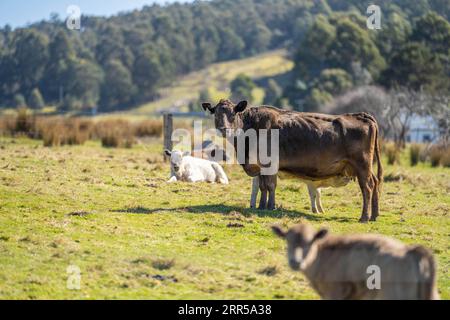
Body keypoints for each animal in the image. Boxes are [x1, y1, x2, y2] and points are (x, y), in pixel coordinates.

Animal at [204, 100, 384, 222]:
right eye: (216, 114)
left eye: (232, 113)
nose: (223, 128)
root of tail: (361, 115)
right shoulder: (261, 166)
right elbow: (263, 186)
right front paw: (262, 206)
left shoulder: (271, 164)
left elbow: (270, 185)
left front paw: (271, 206)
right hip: (365, 167)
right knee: (375, 183)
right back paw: (375, 215)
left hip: (362, 164)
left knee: (367, 187)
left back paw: (364, 217)